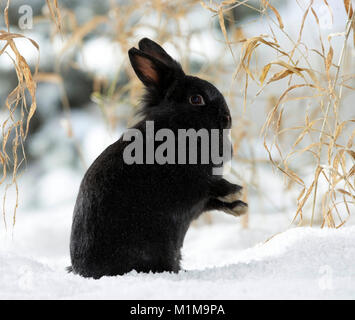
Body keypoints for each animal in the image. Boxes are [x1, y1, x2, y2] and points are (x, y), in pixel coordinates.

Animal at [69, 37, 248, 278]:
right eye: (196, 99)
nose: (227, 119)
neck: (176, 129)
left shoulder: (199, 202)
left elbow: (212, 201)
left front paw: (239, 206)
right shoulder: (190, 185)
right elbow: (210, 187)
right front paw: (234, 191)